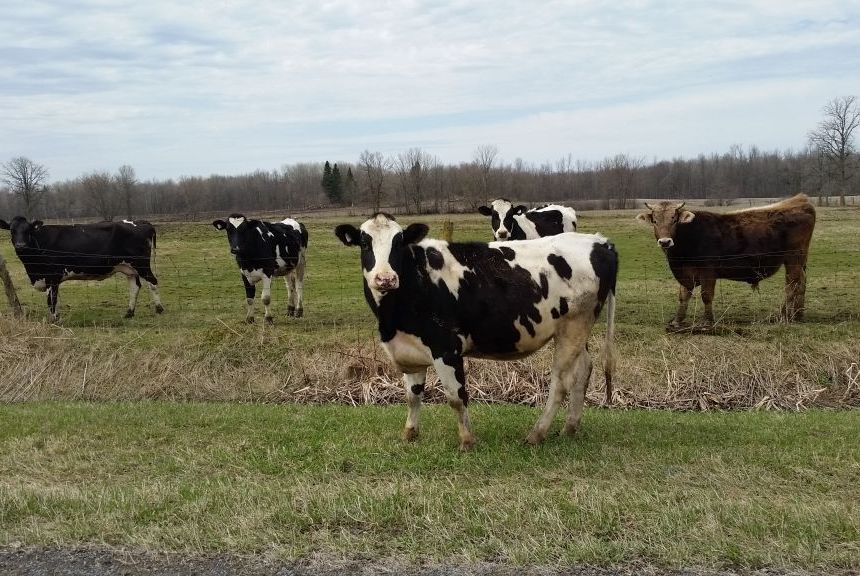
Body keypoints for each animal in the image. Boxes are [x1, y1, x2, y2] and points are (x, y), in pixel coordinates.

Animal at [0, 218, 164, 322]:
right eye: (12, 230)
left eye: (28, 230)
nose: (20, 245)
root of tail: (141, 222)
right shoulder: (47, 278)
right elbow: (53, 300)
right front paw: (56, 318)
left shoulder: (52, 276)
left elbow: (51, 300)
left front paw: (54, 320)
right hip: (129, 267)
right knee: (135, 287)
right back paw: (129, 313)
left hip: (141, 264)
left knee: (153, 282)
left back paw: (159, 309)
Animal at [332, 214, 616, 452]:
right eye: (364, 243)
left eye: (399, 242)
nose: (385, 279)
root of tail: (599, 241)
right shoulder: (409, 350)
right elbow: (413, 396)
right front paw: (409, 434)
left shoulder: (446, 348)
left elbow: (456, 397)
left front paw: (467, 441)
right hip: (577, 332)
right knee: (583, 371)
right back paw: (569, 428)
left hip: (573, 328)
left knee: (560, 383)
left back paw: (537, 434)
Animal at [640, 195, 812, 326]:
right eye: (655, 221)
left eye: (674, 219)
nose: (665, 242)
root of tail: (799, 200)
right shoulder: (685, 273)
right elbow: (684, 296)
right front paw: (677, 320)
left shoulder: (708, 271)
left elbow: (706, 295)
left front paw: (707, 321)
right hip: (798, 262)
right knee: (801, 284)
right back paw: (797, 315)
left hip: (793, 259)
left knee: (792, 286)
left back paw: (783, 316)